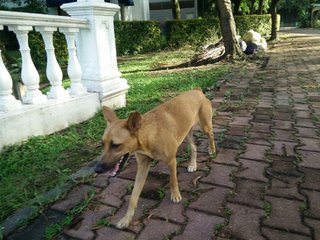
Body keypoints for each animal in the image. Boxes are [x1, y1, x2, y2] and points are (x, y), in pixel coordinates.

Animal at [94, 88, 216, 229]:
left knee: (211, 135)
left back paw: (212, 149)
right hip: (187, 132)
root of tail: (197, 90)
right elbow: (133, 197)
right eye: (102, 144)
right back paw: (193, 165)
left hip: (205, 126)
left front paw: (175, 195)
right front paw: (127, 218)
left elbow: (173, 180)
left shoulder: (171, 161)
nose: (97, 169)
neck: (148, 136)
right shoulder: (142, 167)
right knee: (194, 147)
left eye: (115, 145)